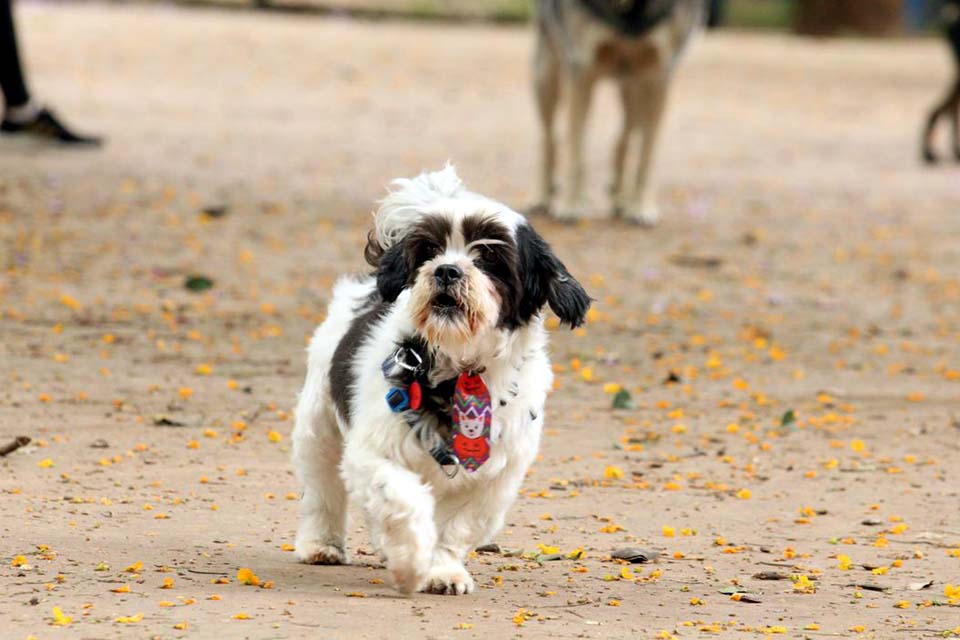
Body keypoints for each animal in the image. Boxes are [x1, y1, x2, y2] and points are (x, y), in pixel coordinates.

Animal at [290, 165, 592, 596]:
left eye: (490, 257)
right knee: (323, 488)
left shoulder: (494, 478)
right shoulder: (373, 452)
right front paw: (411, 563)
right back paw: (321, 543)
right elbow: (405, 500)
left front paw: (441, 570)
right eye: (430, 251)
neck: (460, 368)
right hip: (319, 426)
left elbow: (456, 527)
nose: (447, 269)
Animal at [532, 0, 696, 225]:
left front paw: (640, 207)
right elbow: (576, 151)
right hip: (546, 78)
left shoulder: (658, 76)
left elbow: (647, 155)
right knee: (549, 139)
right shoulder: (581, 70)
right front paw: (571, 205)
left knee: (625, 137)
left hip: (633, 90)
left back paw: (621, 197)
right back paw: (544, 195)